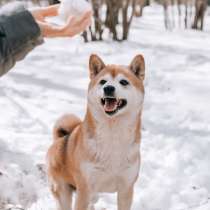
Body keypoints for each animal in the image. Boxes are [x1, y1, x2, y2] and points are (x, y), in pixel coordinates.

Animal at [46, 54, 145, 210]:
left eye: (123, 82)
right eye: (103, 81)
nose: (108, 88)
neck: (112, 134)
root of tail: (60, 139)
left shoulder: (126, 189)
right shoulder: (84, 189)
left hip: (92, 196)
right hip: (64, 192)